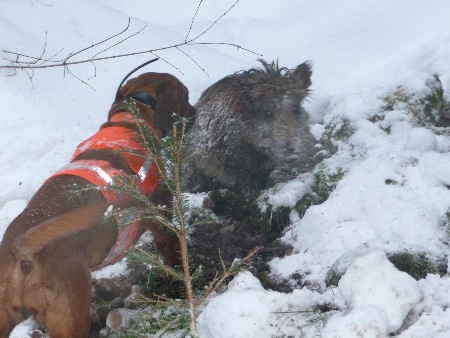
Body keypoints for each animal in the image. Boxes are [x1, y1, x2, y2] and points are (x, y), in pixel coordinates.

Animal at [0, 72, 195, 336]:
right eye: (186, 96)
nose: (195, 112)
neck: (130, 121)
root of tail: (21, 254)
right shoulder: (162, 223)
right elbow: (175, 258)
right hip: (71, 318)